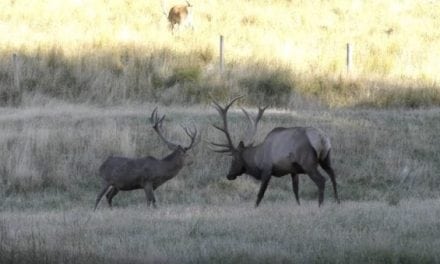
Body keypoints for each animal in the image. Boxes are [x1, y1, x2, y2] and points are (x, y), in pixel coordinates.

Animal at [211, 96, 340, 207]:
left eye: (233, 158)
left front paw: (254, 207)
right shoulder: (293, 170)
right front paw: (298, 206)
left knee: (321, 180)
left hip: (308, 163)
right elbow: (295, 191)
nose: (229, 175)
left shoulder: (267, 169)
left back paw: (320, 205)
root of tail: (322, 138)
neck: (257, 159)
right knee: (333, 175)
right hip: (326, 158)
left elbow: (260, 194)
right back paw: (337, 201)